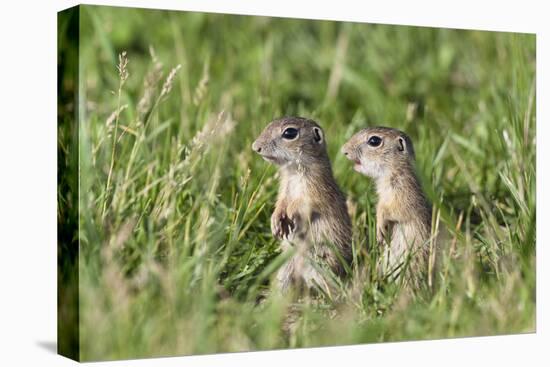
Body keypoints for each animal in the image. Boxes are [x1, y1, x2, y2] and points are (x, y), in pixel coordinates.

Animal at [251, 116, 352, 294]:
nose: (256, 147)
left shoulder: (316, 189)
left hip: (324, 269)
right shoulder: (284, 189)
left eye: (289, 133)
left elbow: (302, 203)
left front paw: (291, 212)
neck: (293, 172)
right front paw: (275, 221)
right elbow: (281, 202)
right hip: (286, 271)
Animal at [342, 128, 434, 288]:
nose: (344, 150)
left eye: (374, 141)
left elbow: (392, 210)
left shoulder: (403, 193)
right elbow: (380, 207)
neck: (393, 171)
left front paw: (380, 228)